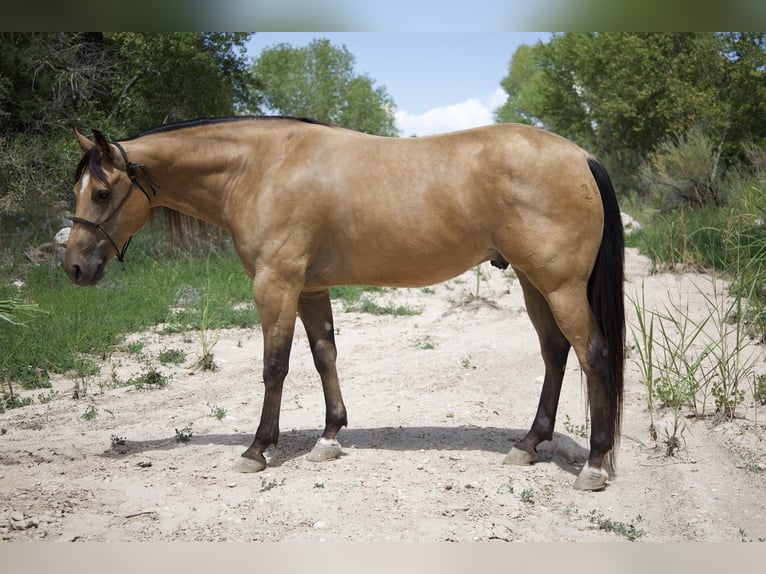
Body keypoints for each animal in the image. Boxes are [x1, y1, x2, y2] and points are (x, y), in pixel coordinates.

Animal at [64, 116, 624, 491]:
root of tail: (580, 155)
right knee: (555, 353)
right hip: (533, 283)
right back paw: (529, 445)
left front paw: (258, 448)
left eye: (100, 192)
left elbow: (274, 364)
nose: (73, 268)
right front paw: (330, 436)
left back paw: (594, 465)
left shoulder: (276, 285)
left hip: (559, 286)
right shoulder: (310, 288)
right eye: (78, 189)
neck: (261, 167)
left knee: (592, 354)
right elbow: (323, 355)